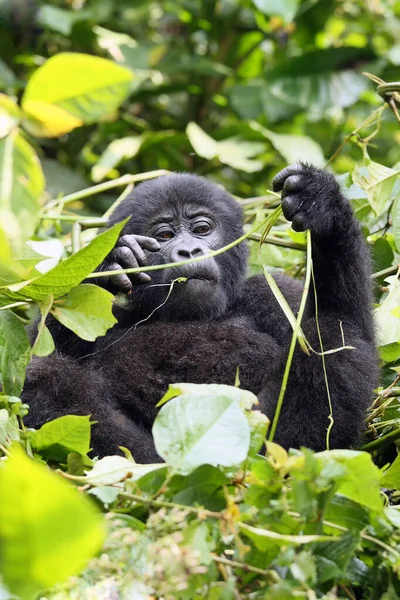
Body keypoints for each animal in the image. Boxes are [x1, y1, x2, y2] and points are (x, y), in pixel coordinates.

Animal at [23, 165, 380, 464]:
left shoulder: (272, 293)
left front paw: (322, 205)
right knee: (44, 376)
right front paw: (113, 262)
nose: (189, 250)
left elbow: (346, 323)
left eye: (202, 229)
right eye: (165, 236)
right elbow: (38, 352)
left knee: (330, 334)